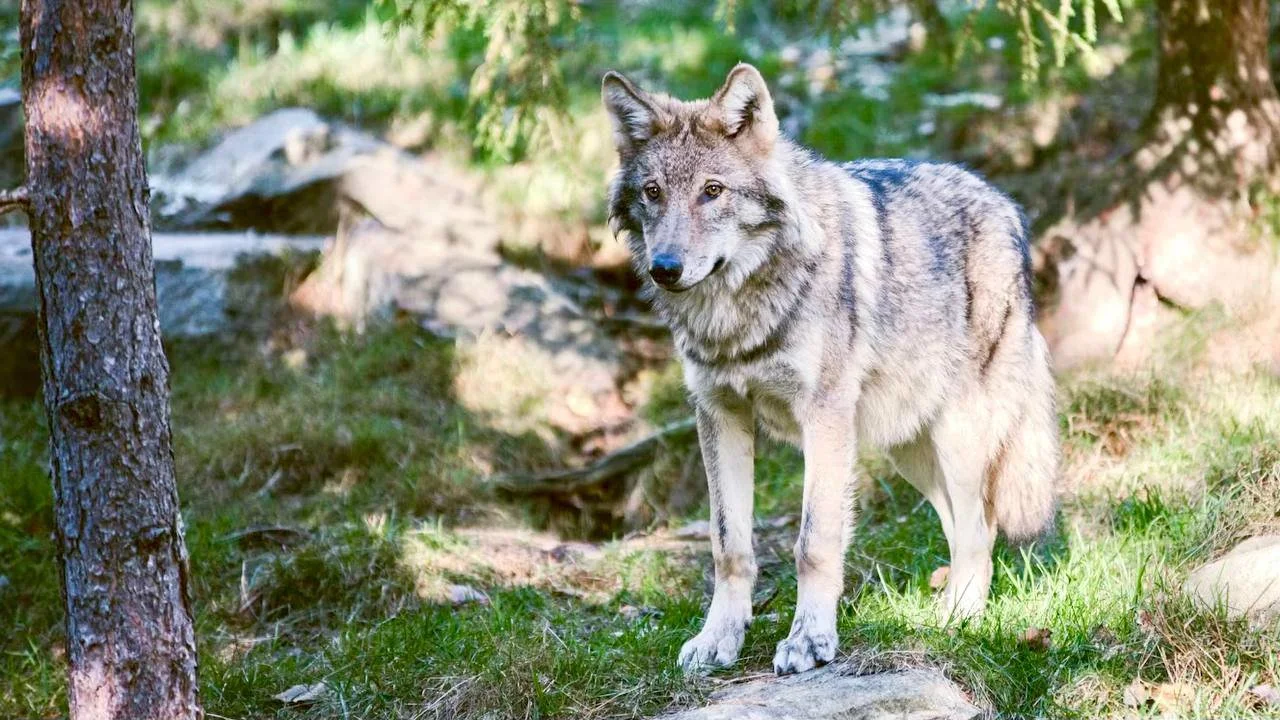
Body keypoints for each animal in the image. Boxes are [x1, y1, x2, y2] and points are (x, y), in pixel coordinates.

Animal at [601, 63, 1060, 675]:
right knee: (963, 525)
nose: (665, 268)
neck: (736, 314)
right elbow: (729, 546)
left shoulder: (822, 418)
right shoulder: (719, 415)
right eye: (653, 192)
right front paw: (719, 639)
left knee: (980, 530)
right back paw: (943, 612)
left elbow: (813, 542)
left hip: (958, 437)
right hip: (909, 449)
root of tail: (1006, 205)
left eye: (712, 191)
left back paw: (958, 621)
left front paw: (809, 641)